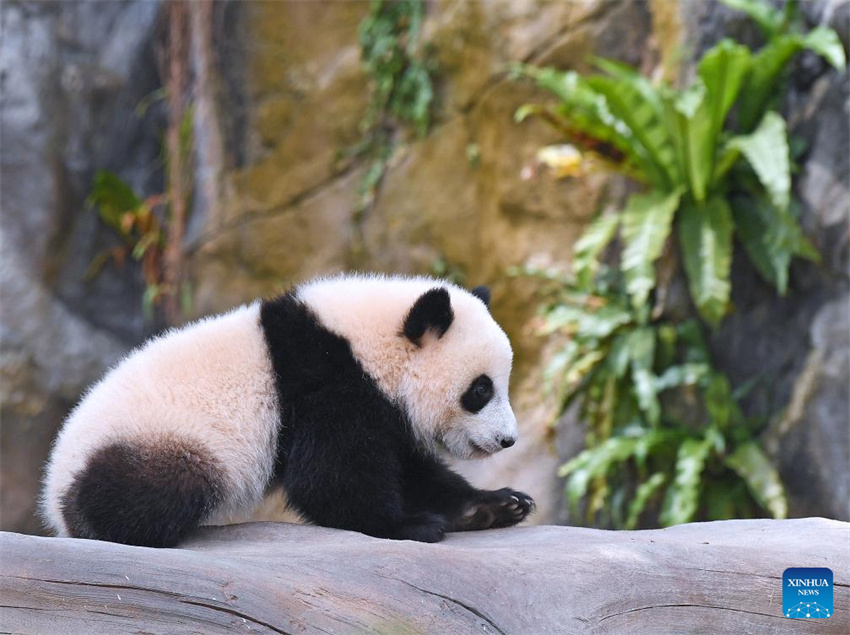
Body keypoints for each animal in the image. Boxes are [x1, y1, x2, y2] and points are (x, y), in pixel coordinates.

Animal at [41, 273, 534, 547]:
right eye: (481, 390)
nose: (507, 440)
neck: (367, 344)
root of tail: (55, 496)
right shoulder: (326, 383)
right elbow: (329, 478)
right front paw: (408, 525)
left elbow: (412, 470)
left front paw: (497, 505)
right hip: (157, 440)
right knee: (161, 488)